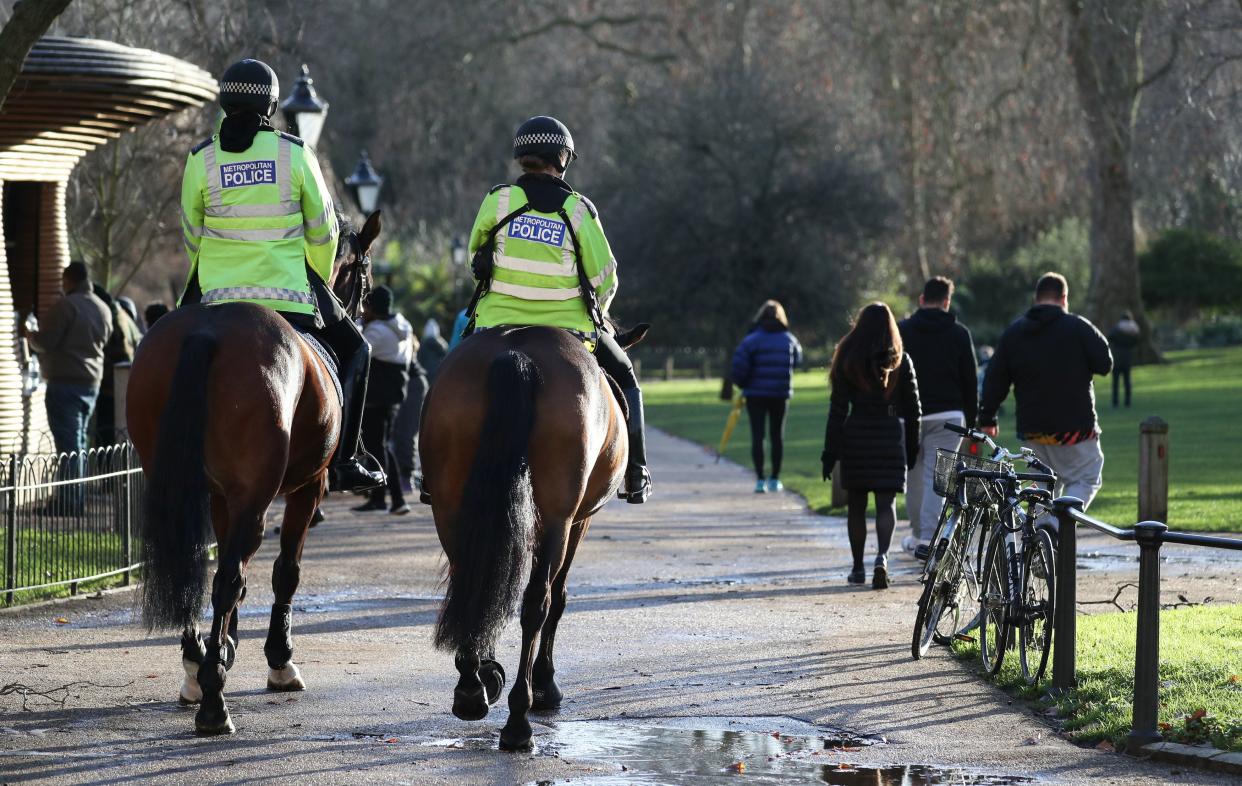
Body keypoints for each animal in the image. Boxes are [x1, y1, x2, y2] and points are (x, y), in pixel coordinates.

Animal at [126, 211, 380, 735]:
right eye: (363, 273)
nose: (364, 307)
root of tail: (209, 331)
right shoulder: (308, 488)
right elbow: (285, 572)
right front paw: (276, 658)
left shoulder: (223, 495)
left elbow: (236, 568)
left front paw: (222, 647)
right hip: (259, 494)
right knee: (226, 577)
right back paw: (213, 702)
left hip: (179, 483)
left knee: (196, 565)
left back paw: (196, 663)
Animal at [419, 322, 650, 749]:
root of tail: (518, 351)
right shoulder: (576, 522)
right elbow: (559, 597)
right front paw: (545, 684)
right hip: (558, 518)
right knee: (536, 603)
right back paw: (519, 717)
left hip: (450, 506)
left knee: (472, 583)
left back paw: (472, 689)